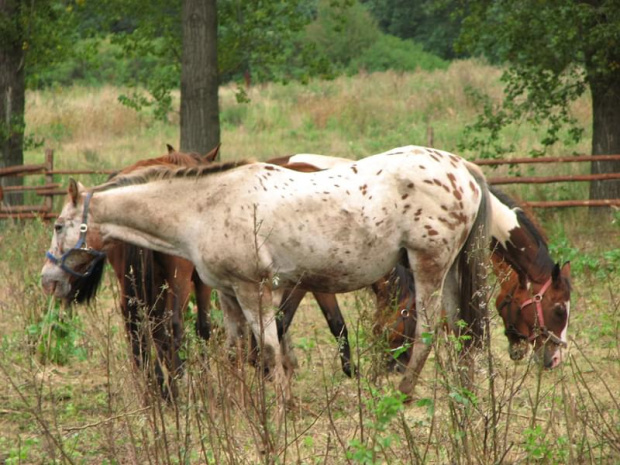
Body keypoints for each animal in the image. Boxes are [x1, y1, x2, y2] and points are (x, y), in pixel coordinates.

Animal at [41, 145, 492, 398]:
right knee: (461, 327)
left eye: (59, 226)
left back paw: (404, 391)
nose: (48, 281)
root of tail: (463, 168)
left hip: (428, 264)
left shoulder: (254, 290)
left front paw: (282, 403)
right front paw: (240, 401)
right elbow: (237, 349)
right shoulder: (227, 294)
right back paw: (463, 391)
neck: (204, 207)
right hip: (450, 269)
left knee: (431, 328)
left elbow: (271, 347)